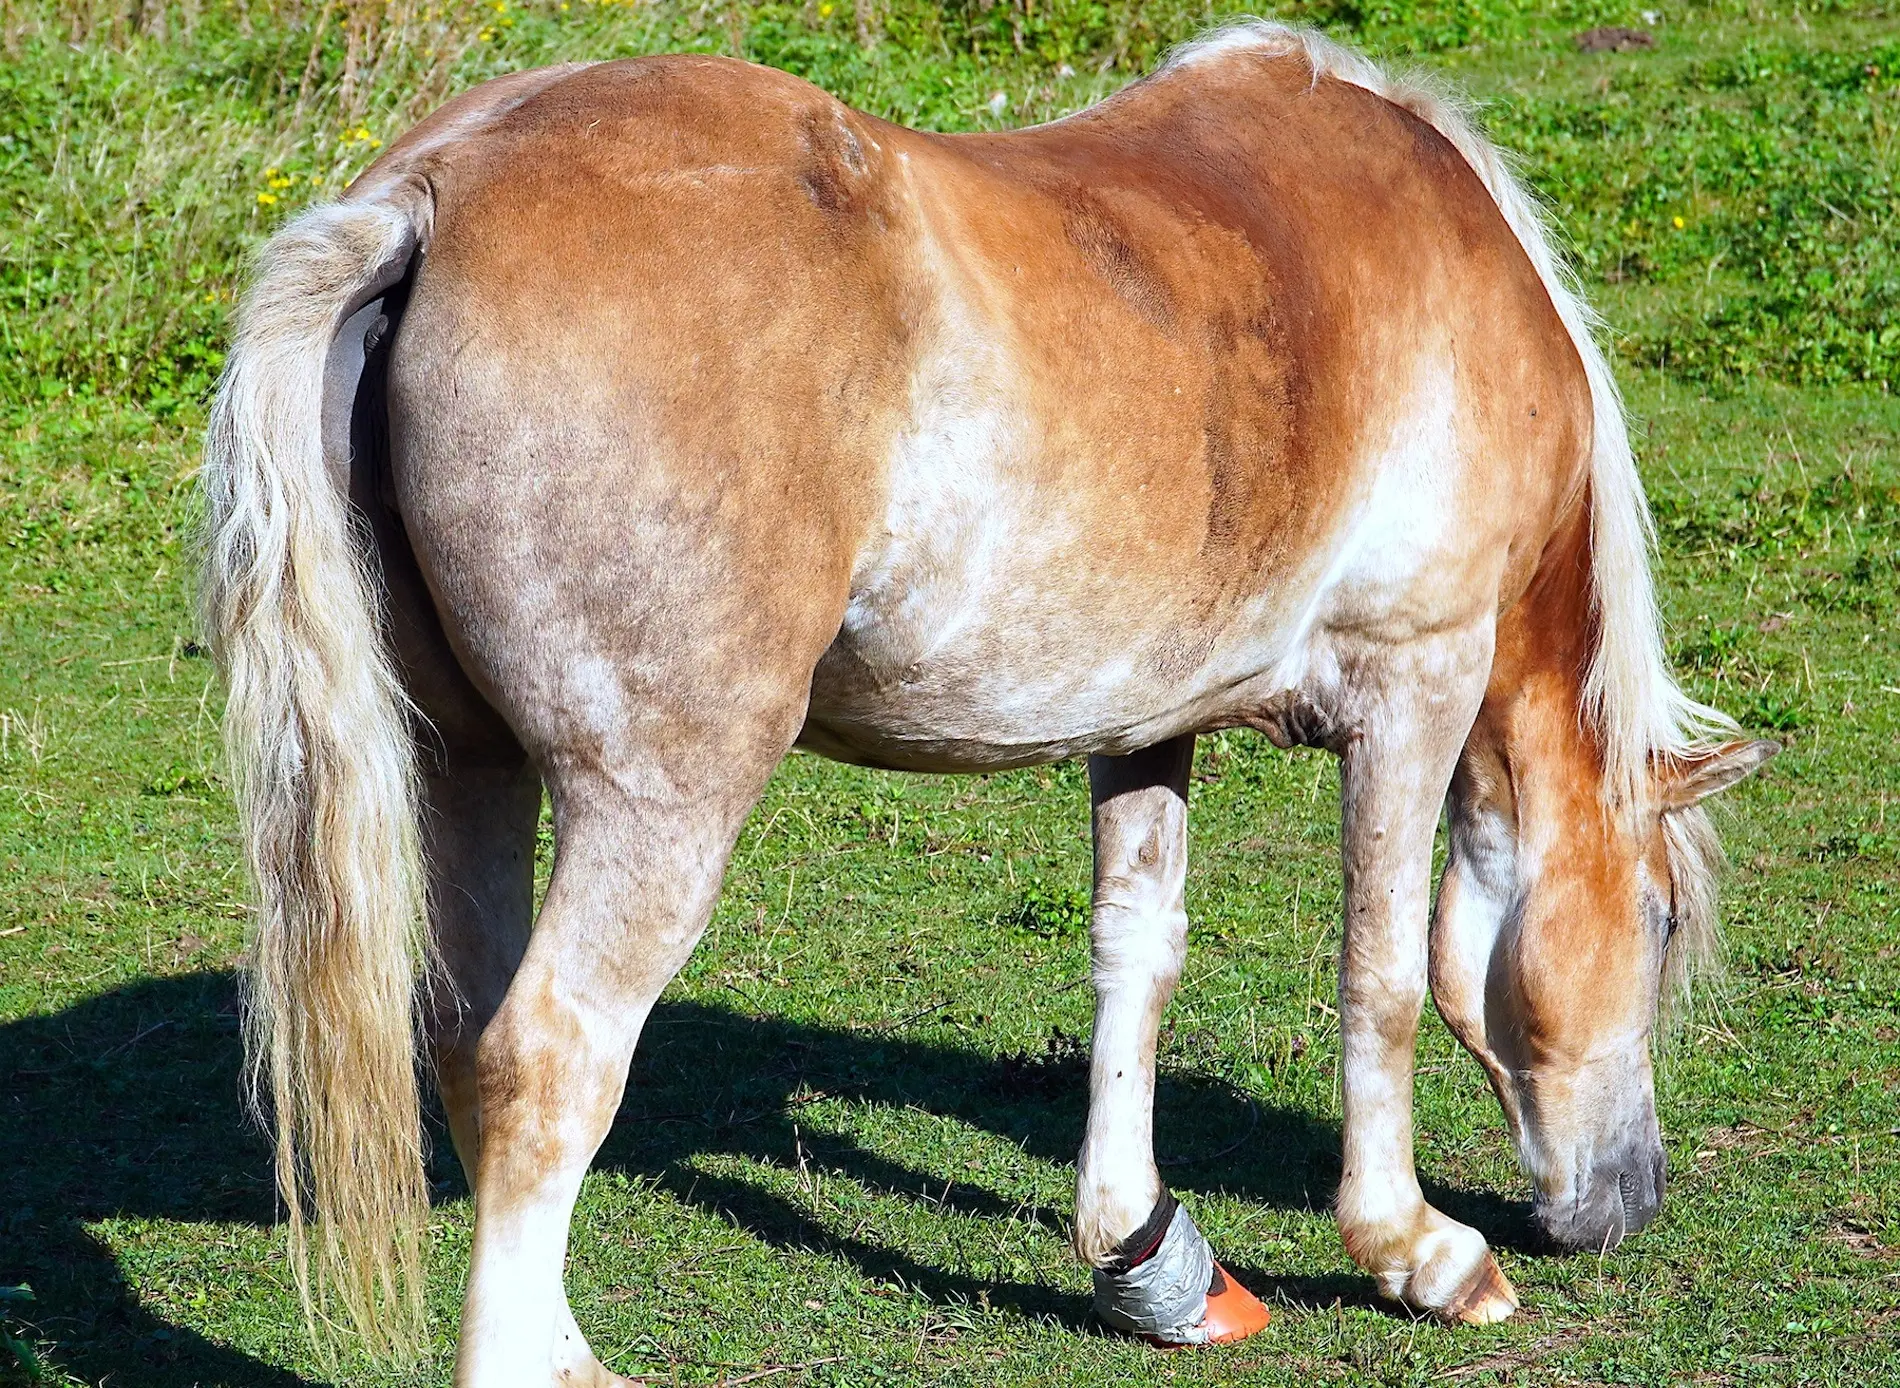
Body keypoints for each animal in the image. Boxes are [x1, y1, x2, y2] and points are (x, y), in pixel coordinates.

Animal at [204, 18, 1778, 1382]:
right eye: (1661, 922)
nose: (1628, 1200)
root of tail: (428, 198)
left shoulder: (1146, 721)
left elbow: (1137, 955)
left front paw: (1143, 1250)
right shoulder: (1418, 679)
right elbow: (1385, 973)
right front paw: (1415, 1251)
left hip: (468, 766)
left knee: (466, 1039)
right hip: (658, 802)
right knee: (547, 1062)